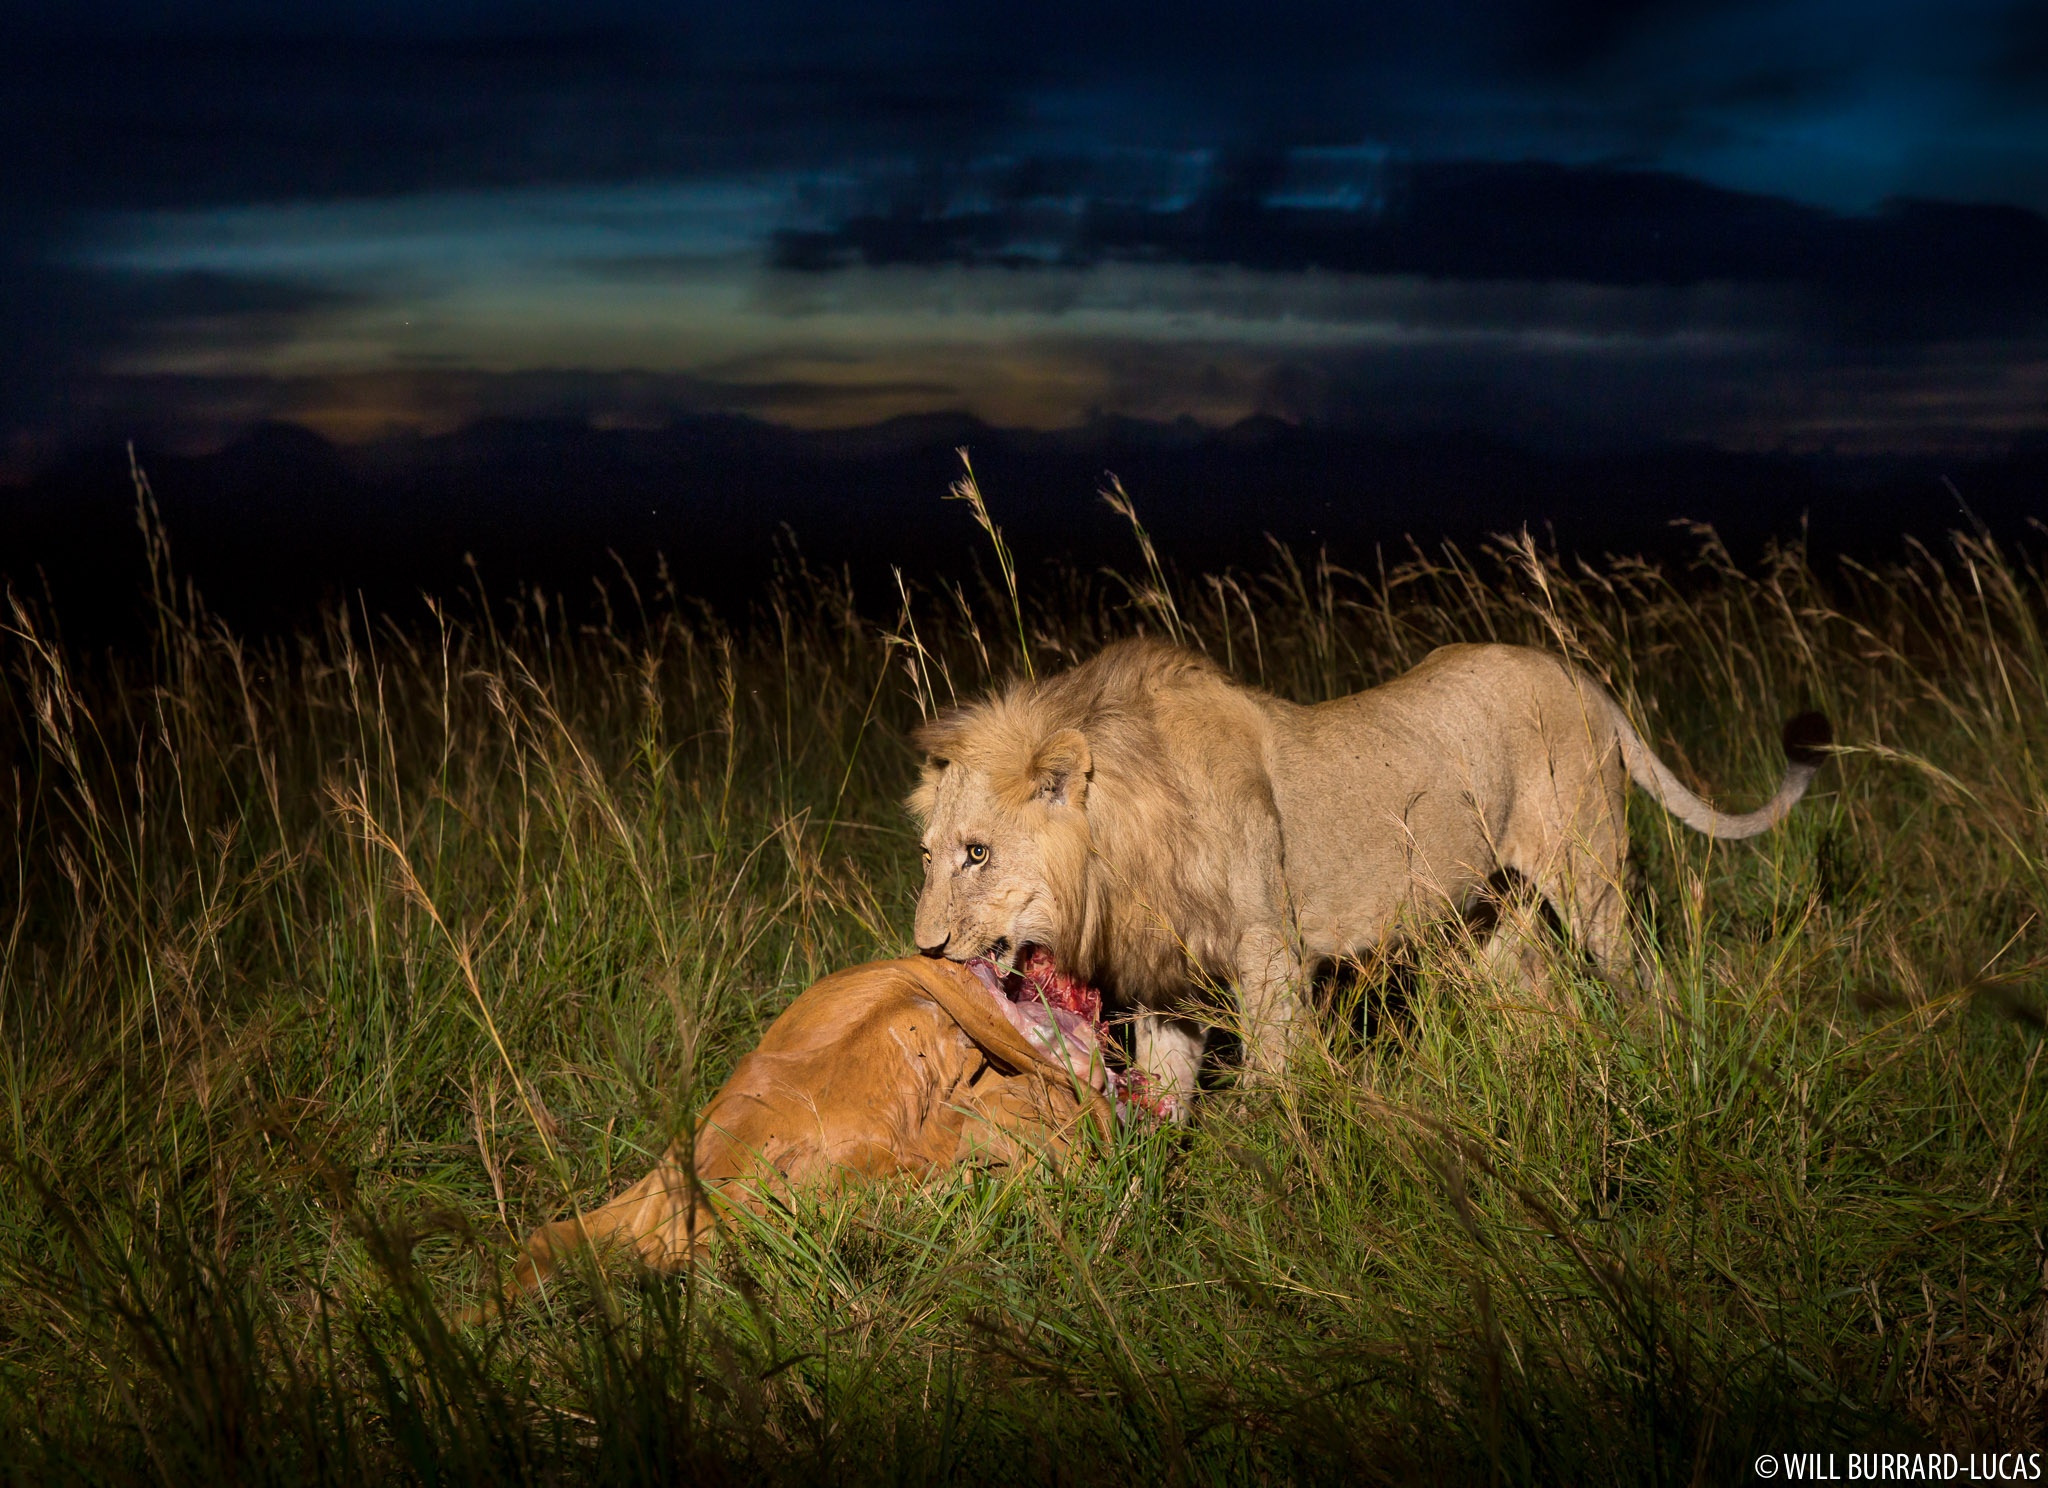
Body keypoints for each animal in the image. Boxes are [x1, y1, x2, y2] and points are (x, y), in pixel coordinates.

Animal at [905, 638, 1835, 1113]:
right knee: (1541, 1002)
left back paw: (1662, 1054)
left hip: (1589, 870)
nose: (926, 948)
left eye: (978, 853)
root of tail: (1582, 677)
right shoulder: (1171, 981)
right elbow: (1166, 1101)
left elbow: (1276, 1079)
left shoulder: (1268, 953)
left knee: (1640, 974)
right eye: (928, 853)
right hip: (1490, 914)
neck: (1122, 856)